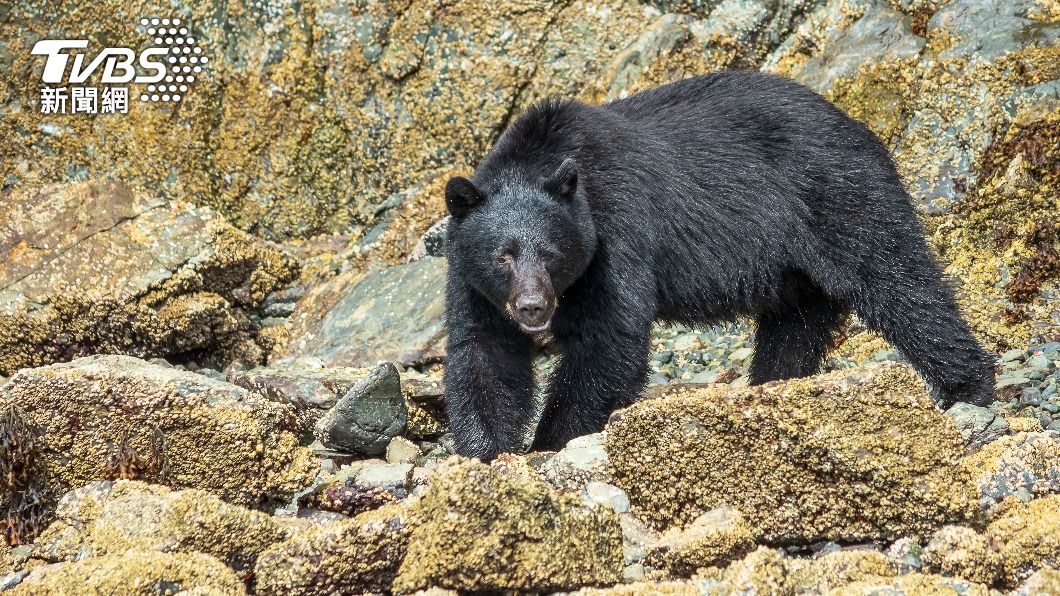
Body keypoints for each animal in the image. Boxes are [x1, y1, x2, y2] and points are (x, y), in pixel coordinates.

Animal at [442, 70, 996, 461]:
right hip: (794, 266)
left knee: (898, 279)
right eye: (503, 255)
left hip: (840, 195)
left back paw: (966, 387)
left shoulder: (617, 227)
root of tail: (857, 123)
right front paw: (486, 452)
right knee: (796, 325)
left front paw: (552, 440)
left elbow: (609, 336)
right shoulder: (471, 279)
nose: (533, 307)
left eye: (551, 254)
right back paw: (773, 389)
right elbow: (484, 351)